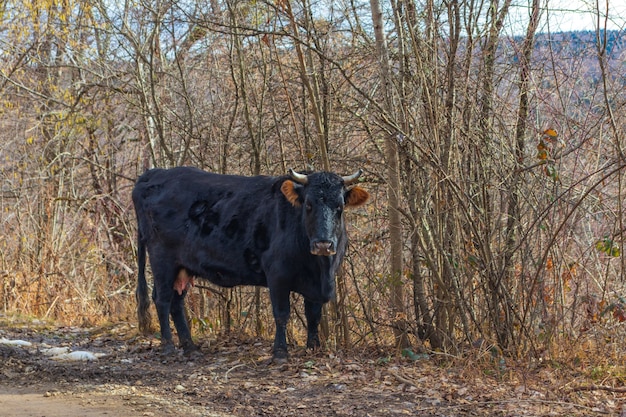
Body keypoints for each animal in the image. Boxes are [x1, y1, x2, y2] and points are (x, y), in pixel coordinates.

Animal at [132, 166, 366, 358]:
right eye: (308, 205)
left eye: (339, 207)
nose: (323, 244)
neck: (320, 268)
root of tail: (154, 173)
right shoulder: (277, 275)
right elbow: (282, 314)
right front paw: (280, 352)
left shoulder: (316, 285)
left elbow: (313, 315)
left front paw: (313, 348)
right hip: (162, 259)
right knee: (162, 299)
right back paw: (169, 347)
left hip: (183, 266)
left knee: (176, 302)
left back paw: (190, 347)